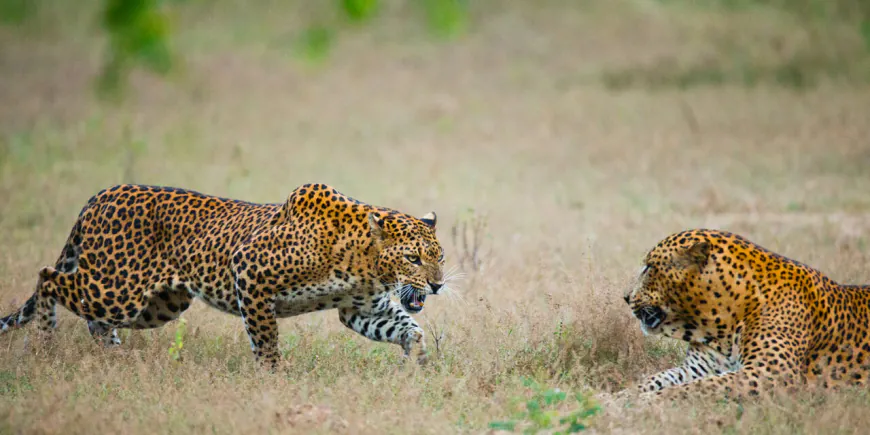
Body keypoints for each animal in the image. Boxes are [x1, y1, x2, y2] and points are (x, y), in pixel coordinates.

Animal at [0, 182, 450, 370]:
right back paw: (44, 341)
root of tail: (100, 195)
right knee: (48, 278)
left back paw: (113, 356)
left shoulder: (360, 308)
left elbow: (407, 327)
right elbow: (265, 338)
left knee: (95, 321)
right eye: (413, 258)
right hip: (115, 287)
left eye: (439, 256)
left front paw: (418, 363)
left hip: (159, 304)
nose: (437, 285)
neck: (365, 262)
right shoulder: (249, 271)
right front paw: (273, 378)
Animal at [624, 228, 870, 402]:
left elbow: (696, 388)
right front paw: (621, 397)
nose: (626, 297)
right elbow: (655, 379)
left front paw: (643, 402)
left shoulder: (770, 374)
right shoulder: (696, 368)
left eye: (649, 267)